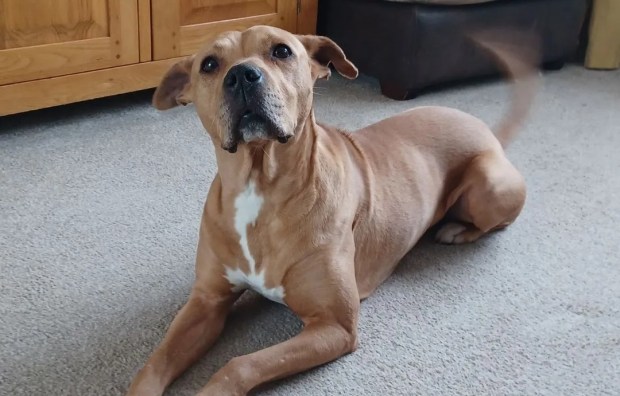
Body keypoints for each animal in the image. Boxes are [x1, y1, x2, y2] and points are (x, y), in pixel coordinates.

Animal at [128, 26, 540, 394]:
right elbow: (153, 365)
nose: (242, 75)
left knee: (493, 221)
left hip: (489, 185)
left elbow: (240, 365)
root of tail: (488, 131)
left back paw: (456, 229)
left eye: (281, 51)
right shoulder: (206, 302)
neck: (259, 182)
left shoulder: (334, 325)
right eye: (210, 64)